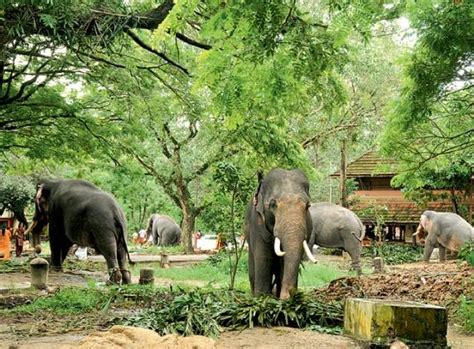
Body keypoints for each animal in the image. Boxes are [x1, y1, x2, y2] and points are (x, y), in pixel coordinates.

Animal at [243, 169, 316, 300]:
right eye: (273, 204)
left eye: (308, 206)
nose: (286, 296)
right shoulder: (258, 224)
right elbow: (263, 258)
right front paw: (263, 299)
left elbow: (284, 263)